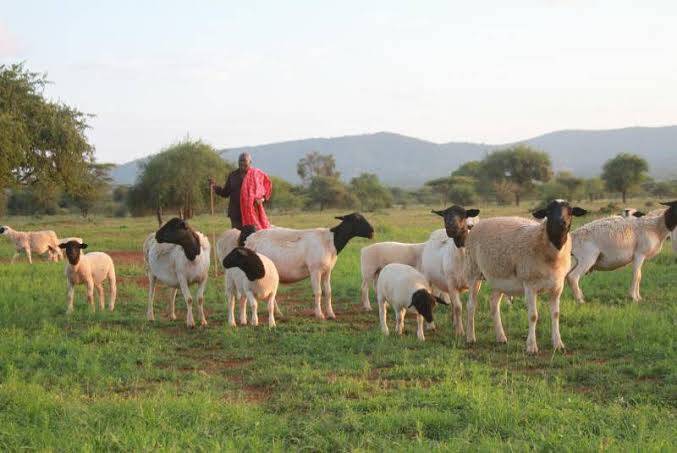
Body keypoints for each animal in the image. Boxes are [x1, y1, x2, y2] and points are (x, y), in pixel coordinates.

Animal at [217, 214, 374, 320]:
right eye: (357, 219)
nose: (372, 232)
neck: (330, 241)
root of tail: (249, 239)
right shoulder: (315, 270)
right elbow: (318, 292)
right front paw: (319, 314)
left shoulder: (327, 271)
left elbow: (328, 292)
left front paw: (331, 314)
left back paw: (277, 313)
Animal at [422, 205, 480, 336]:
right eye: (444, 215)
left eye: (463, 214)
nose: (451, 227)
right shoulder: (451, 282)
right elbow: (458, 307)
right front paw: (460, 332)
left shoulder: (475, 283)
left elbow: (471, 306)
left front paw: (469, 332)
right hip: (429, 279)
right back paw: (430, 326)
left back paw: (454, 322)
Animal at [464, 199, 588, 354]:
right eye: (548, 211)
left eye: (570, 211)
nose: (562, 223)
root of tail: (477, 225)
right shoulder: (530, 285)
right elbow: (533, 316)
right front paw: (531, 347)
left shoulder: (557, 287)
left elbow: (555, 314)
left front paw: (558, 344)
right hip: (473, 271)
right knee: (471, 305)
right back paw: (470, 337)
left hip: (499, 278)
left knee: (493, 303)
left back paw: (501, 337)